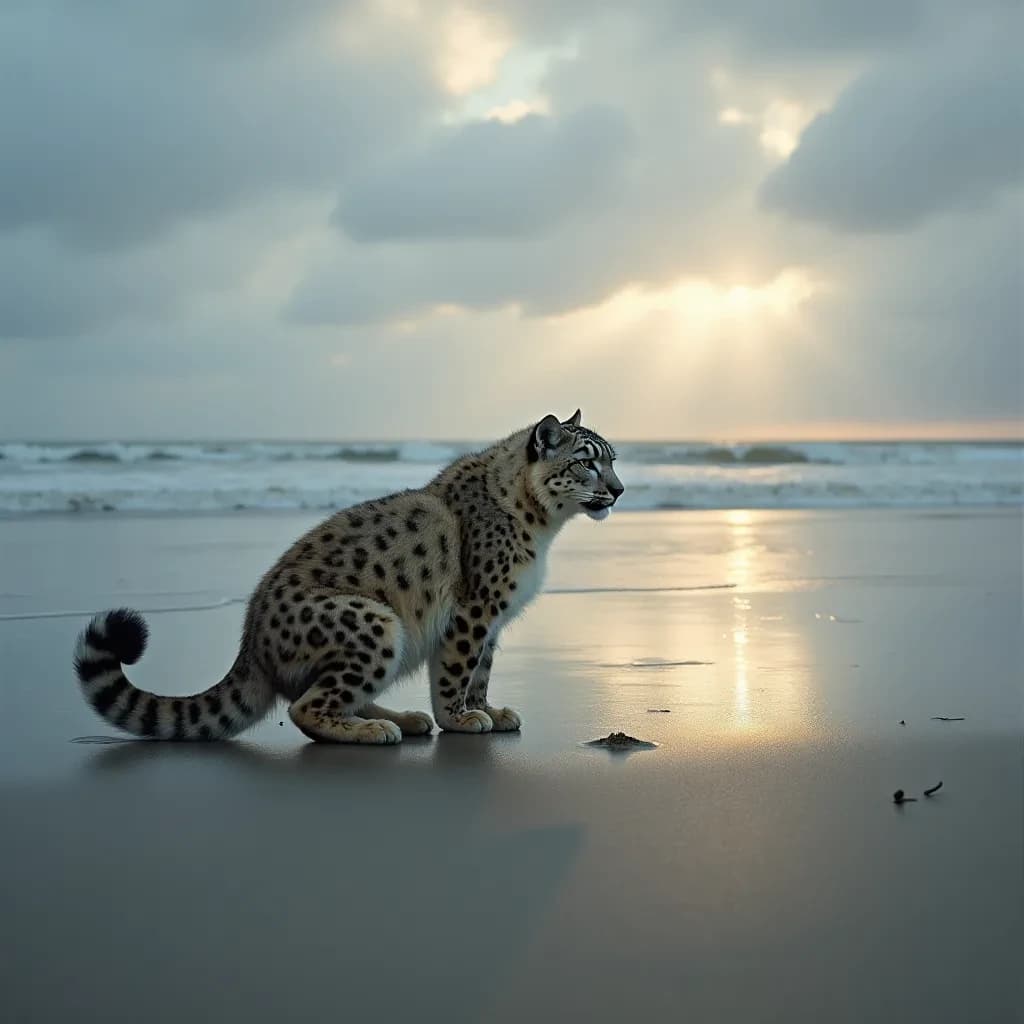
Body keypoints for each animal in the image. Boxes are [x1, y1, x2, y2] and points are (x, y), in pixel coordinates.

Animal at [73, 410, 623, 744]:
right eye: (585, 463)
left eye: (613, 460)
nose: (618, 490)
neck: (542, 525)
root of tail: (251, 644)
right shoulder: (475, 611)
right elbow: (456, 670)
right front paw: (460, 718)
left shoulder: (493, 620)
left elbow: (480, 671)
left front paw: (487, 708)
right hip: (373, 621)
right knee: (305, 707)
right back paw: (377, 730)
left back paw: (401, 718)